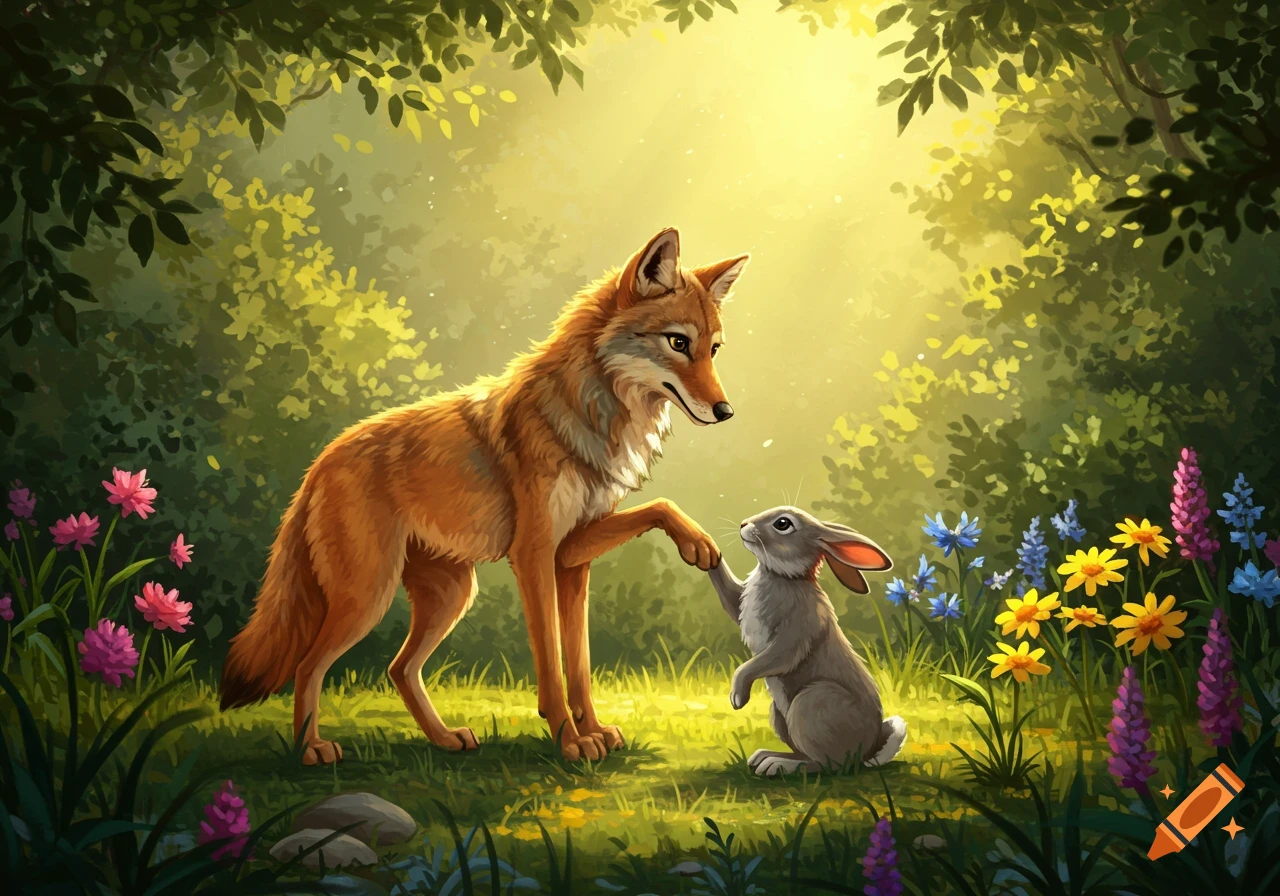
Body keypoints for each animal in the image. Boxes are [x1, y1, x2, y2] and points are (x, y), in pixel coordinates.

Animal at [707, 505, 908, 776]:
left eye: (783, 524)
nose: (743, 524)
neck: (785, 576)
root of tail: (867, 751)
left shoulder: (795, 633)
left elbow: (764, 662)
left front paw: (738, 698)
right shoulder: (740, 603)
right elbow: (729, 594)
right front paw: (705, 549)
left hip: (813, 703)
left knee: (826, 764)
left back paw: (777, 765)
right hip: (780, 715)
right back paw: (764, 757)